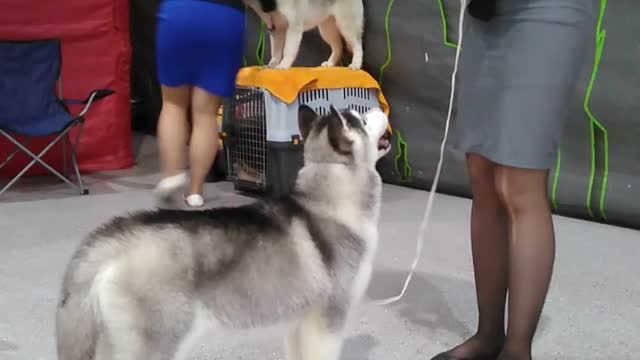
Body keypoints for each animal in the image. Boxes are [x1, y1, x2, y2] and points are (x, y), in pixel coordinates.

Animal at [55, 105, 392, 360]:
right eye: (362, 120)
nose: (380, 108)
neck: (329, 198)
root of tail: (116, 237)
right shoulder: (327, 320)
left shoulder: (298, 323)